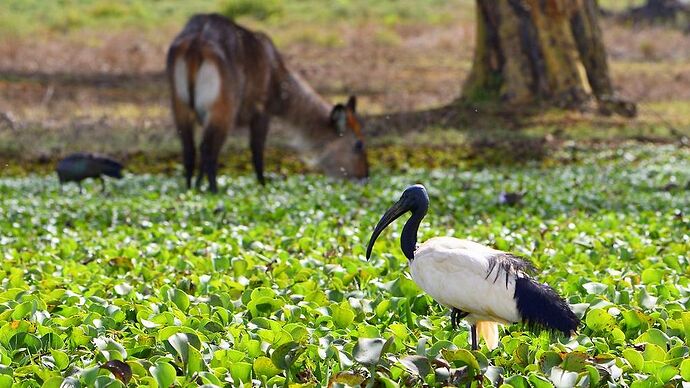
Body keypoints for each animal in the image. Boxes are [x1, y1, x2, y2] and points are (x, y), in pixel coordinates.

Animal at [167, 13, 368, 192]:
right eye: (359, 144)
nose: (365, 177)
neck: (277, 73)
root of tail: (197, 40)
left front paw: (198, 185)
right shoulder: (262, 110)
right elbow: (257, 150)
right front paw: (263, 185)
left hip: (180, 106)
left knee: (190, 150)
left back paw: (190, 189)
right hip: (223, 110)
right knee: (208, 149)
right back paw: (214, 190)